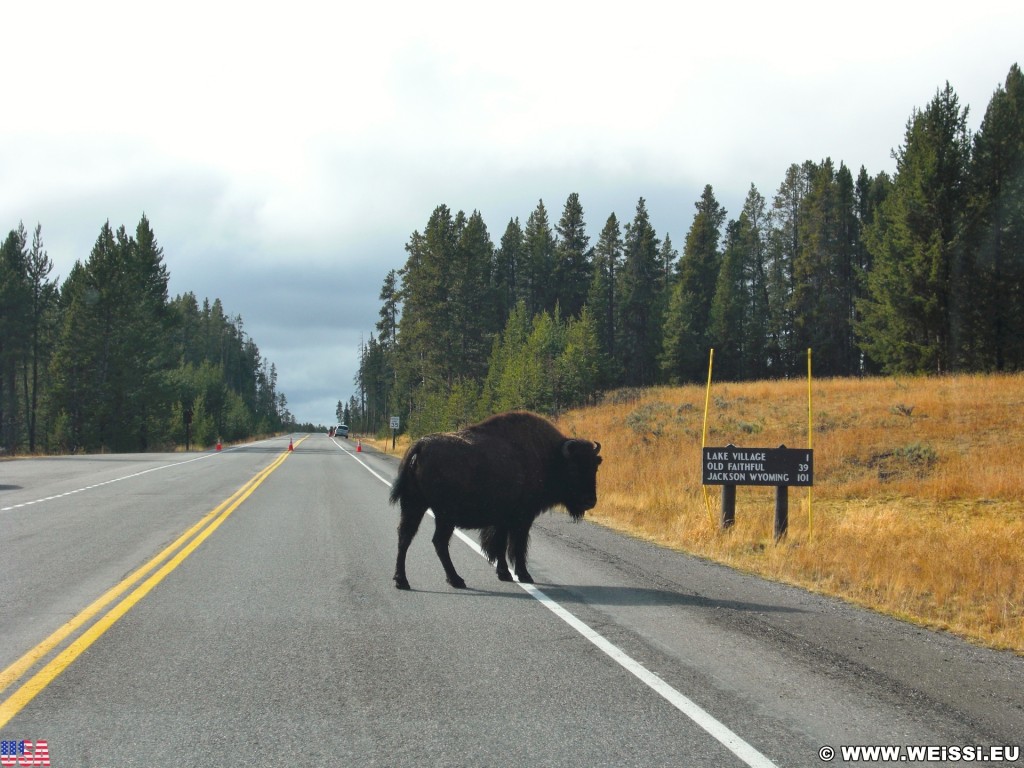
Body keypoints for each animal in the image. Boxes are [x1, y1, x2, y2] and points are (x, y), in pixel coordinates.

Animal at [389, 415, 598, 589]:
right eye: (574, 468)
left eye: (595, 465)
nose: (590, 501)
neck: (549, 457)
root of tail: (421, 445)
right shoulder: (522, 518)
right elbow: (516, 546)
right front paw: (524, 575)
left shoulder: (503, 520)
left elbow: (500, 545)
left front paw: (504, 573)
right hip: (443, 515)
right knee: (438, 542)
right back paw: (456, 580)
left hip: (414, 505)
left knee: (405, 536)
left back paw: (402, 581)